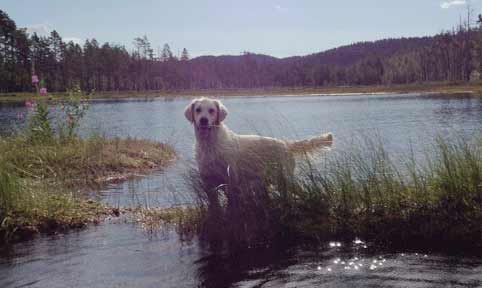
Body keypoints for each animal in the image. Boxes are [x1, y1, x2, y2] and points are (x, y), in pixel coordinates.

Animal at [183, 98, 334, 206]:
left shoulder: (231, 181)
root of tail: (285, 144)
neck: (210, 144)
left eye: (211, 110)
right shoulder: (208, 184)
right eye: (198, 110)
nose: (203, 120)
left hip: (286, 179)